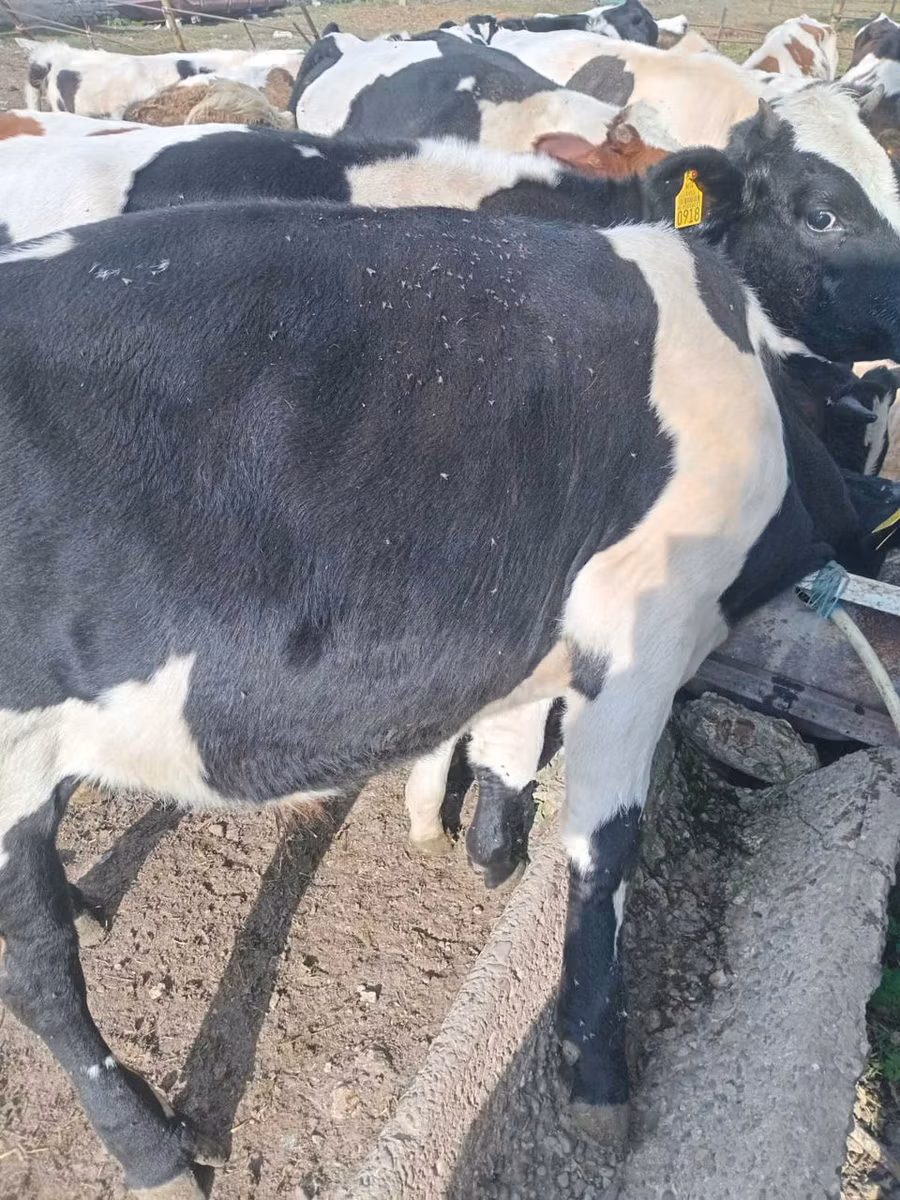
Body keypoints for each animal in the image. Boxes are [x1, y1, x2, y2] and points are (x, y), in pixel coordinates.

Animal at [1, 189, 900, 1193]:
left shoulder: (537, 620)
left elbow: (507, 735)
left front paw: (474, 841)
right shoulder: (645, 637)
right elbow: (603, 854)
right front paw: (596, 1076)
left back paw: (88, 907)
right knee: (36, 972)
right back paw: (153, 1149)